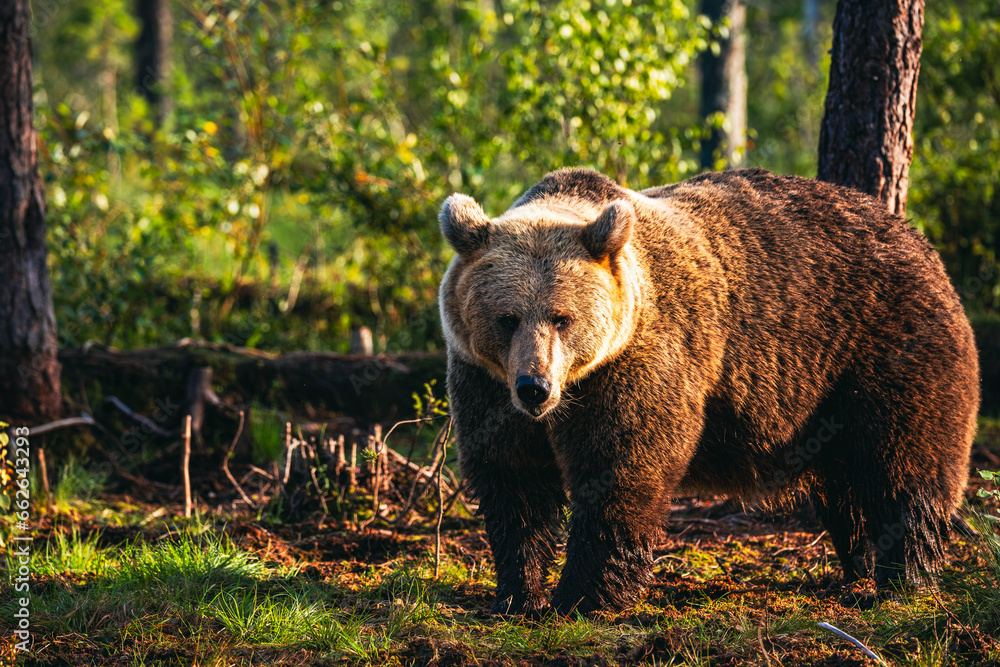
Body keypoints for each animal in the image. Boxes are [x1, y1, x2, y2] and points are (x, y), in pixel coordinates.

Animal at [437, 167, 979, 616]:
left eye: (562, 317)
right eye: (507, 318)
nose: (535, 387)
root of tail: (912, 235)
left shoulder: (638, 364)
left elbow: (620, 469)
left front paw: (582, 596)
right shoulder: (485, 382)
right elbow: (513, 479)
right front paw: (517, 594)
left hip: (885, 349)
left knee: (904, 468)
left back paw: (902, 579)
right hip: (828, 402)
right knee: (845, 488)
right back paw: (859, 566)